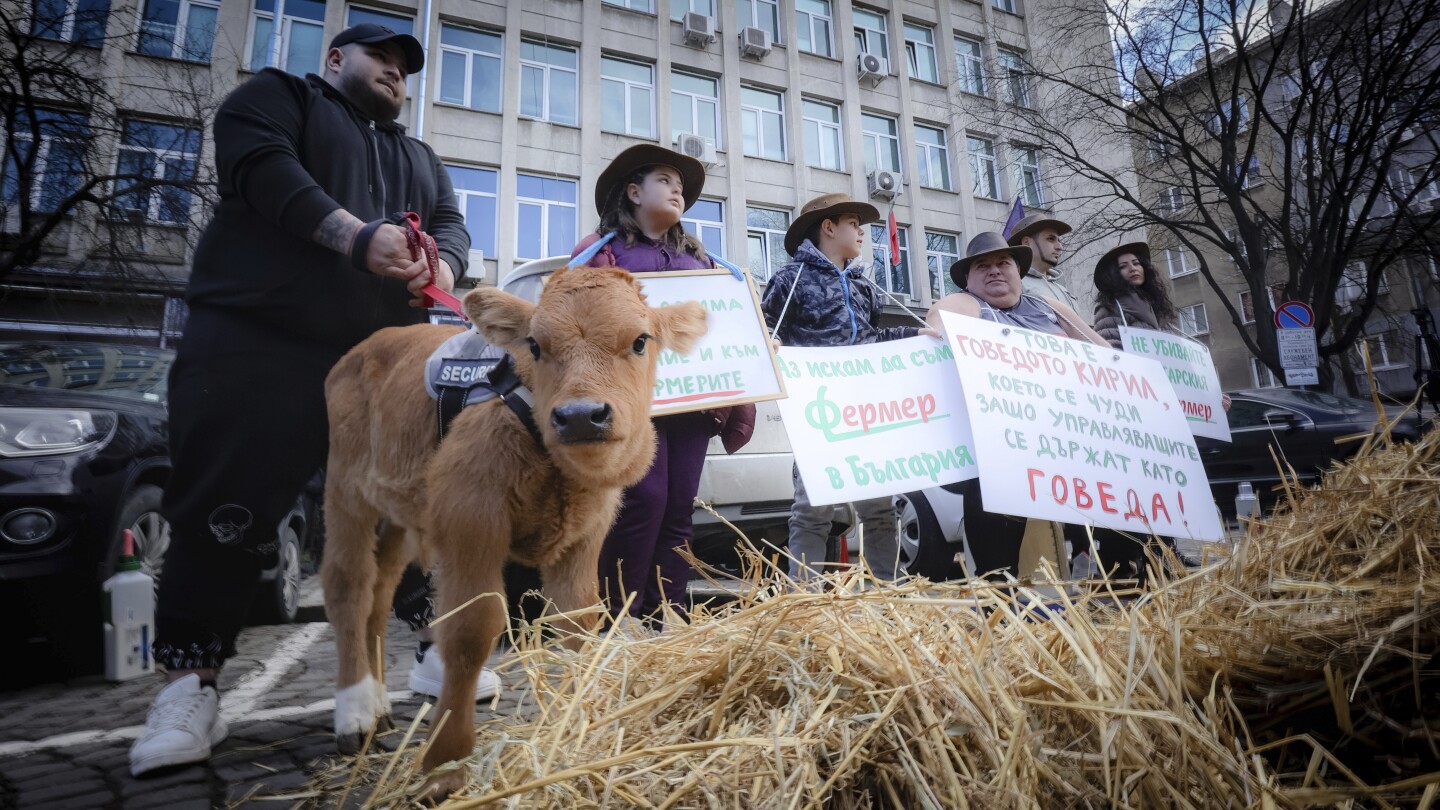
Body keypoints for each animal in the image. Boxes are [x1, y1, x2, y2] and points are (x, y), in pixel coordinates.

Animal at [318, 263, 705, 789]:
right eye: (536, 345)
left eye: (641, 340)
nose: (581, 416)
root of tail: (366, 348)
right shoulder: (469, 518)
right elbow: (470, 629)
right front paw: (446, 763)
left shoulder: (586, 534)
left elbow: (577, 621)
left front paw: (572, 728)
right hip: (346, 490)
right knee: (349, 587)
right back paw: (355, 714)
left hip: (397, 514)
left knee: (379, 599)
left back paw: (377, 707)